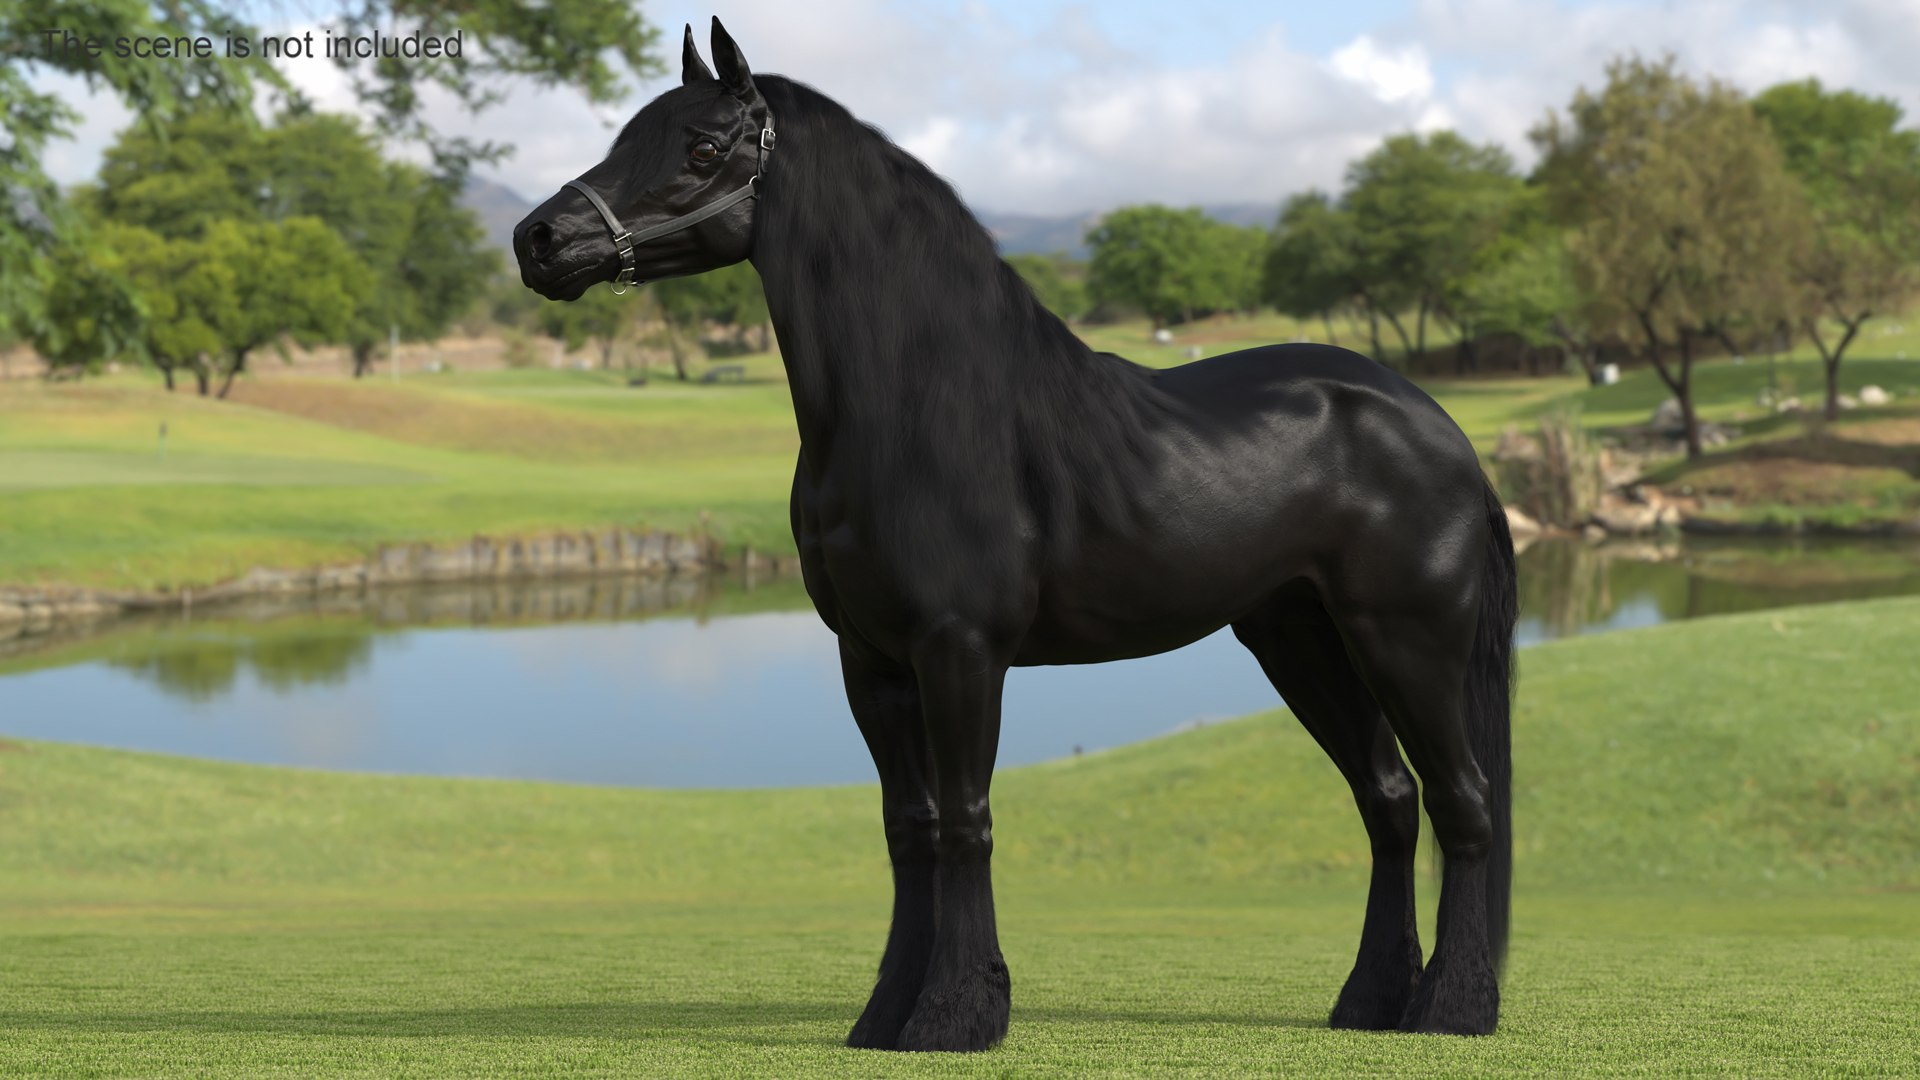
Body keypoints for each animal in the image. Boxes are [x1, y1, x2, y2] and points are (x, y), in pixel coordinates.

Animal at [514, 18, 1516, 1052]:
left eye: (705, 149)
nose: (537, 240)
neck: (915, 412)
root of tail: (1440, 428)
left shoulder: (960, 650)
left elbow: (965, 819)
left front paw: (957, 1013)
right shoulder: (872, 664)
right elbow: (909, 827)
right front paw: (885, 1014)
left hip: (1406, 643)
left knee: (1463, 803)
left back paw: (1453, 1009)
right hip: (1301, 641)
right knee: (1389, 803)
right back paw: (1371, 1004)